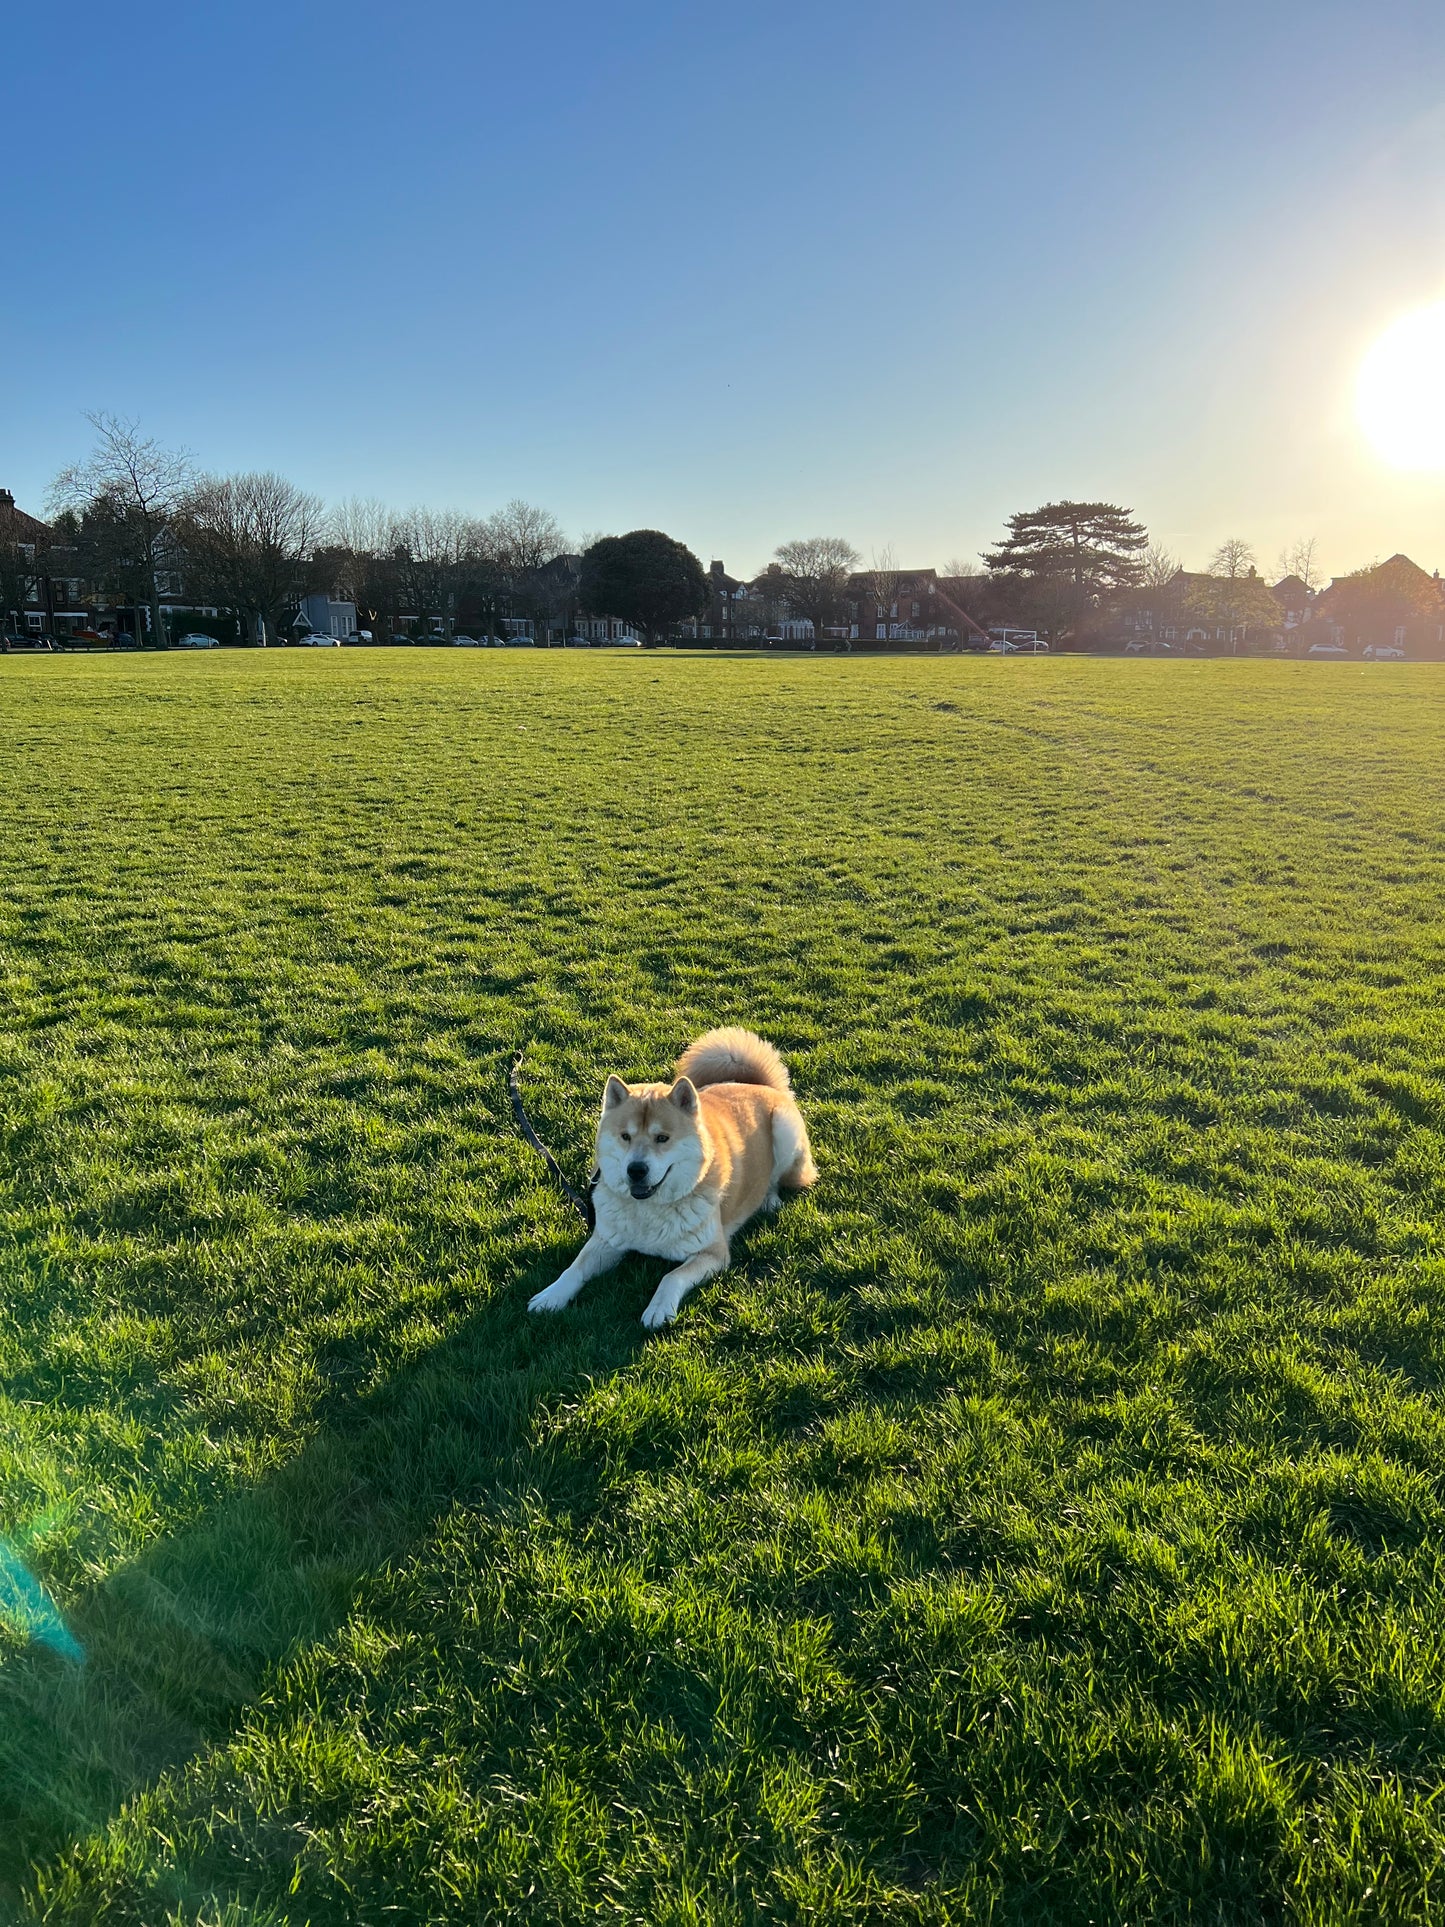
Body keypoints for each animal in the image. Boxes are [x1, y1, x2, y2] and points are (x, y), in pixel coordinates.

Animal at [527, 1032, 824, 1333]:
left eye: (662, 1138)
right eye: (625, 1136)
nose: (636, 1170)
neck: (649, 1211)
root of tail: (761, 1085)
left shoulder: (713, 1253)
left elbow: (671, 1276)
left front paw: (659, 1308)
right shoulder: (607, 1240)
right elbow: (574, 1268)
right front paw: (551, 1295)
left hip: (784, 1132)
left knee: (777, 1178)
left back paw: (769, 1200)